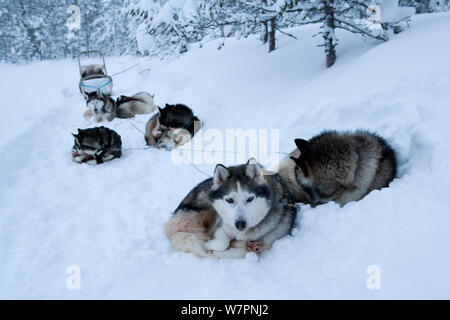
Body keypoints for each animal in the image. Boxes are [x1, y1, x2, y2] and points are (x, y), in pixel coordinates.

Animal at [163, 159, 298, 258]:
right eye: (229, 200)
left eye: (250, 198)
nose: (240, 224)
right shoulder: (223, 227)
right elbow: (223, 242)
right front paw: (210, 246)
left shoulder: (269, 240)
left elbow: (242, 252)